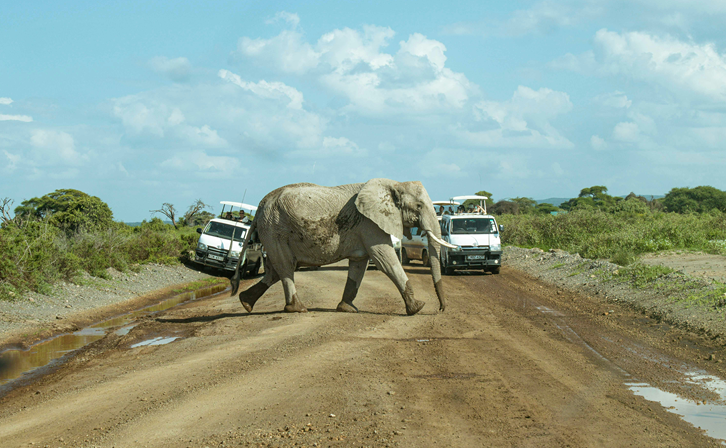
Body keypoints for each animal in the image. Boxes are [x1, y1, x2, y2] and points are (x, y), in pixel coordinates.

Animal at [230, 178, 458, 316]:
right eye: (419, 206)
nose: (441, 309)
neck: (394, 184)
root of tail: (261, 204)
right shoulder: (369, 224)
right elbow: (385, 260)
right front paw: (417, 308)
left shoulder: (364, 228)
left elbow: (358, 266)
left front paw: (347, 309)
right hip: (275, 229)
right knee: (285, 267)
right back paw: (298, 309)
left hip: (272, 231)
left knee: (275, 270)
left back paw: (245, 303)